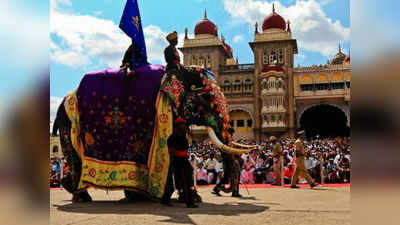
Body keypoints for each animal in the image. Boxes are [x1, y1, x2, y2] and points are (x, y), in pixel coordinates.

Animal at [53, 62, 255, 202]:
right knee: (75, 158)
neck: (179, 70)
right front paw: (182, 197)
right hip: (68, 123)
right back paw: (80, 196)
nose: (222, 190)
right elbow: (172, 155)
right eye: (206, 98)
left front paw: (190, 198)